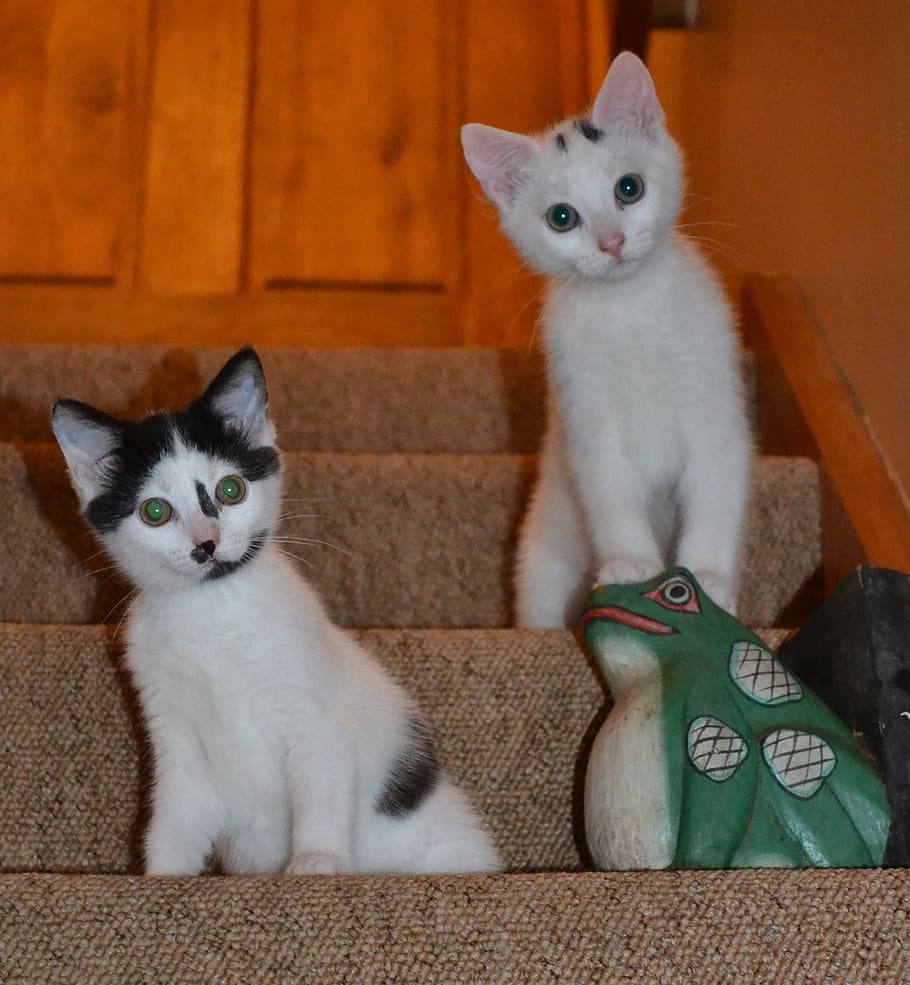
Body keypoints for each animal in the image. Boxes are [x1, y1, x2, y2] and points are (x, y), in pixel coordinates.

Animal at [53, 350, 502, 872]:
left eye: (230, 490)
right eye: (155, 513)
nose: (206, 544)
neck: (213, 613)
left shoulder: (315, 710)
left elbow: (322, 782)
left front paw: (317, 859)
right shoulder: (174, 733)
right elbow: (176, 811)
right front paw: (163, 873)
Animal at [466, 52, 752, 624]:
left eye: (629, 188)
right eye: (561, 217)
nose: (612, 243)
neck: (630, 311)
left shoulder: (713, 397)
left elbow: (716, 481)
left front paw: (708, 575)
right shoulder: (586, 412)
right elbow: (610, 488)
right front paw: (631, 562)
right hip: (542, 563)